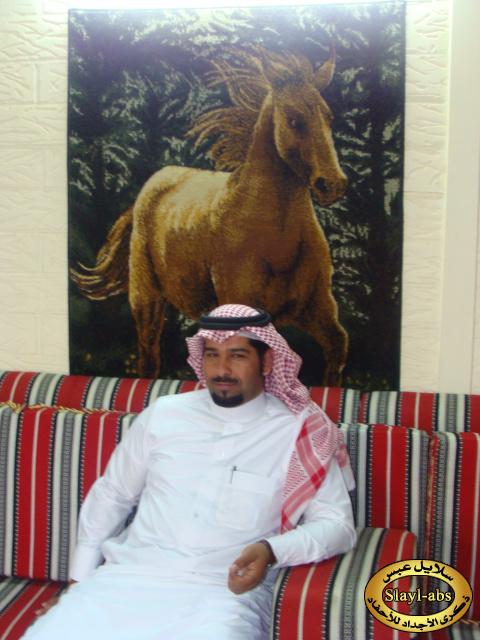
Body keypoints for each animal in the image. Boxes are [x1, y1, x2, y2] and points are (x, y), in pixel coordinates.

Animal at [71, 47, 349, 385]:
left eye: (329, 117)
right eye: (295, 120)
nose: (332, 184)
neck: (275, 240)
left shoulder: (319, 310)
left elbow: (336, 350)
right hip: (146, 298)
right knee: (149, 357)